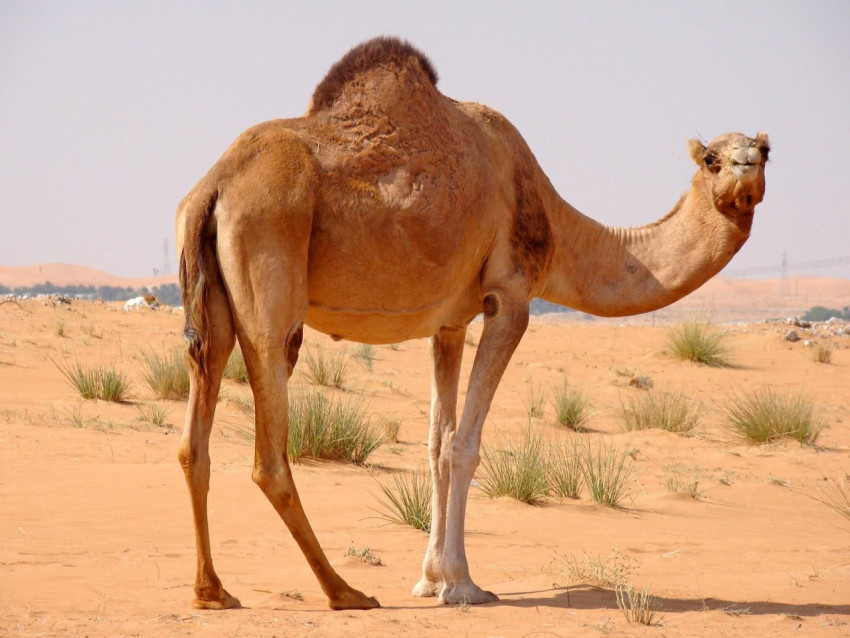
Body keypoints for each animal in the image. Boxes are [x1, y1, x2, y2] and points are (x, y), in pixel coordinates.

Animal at [175, 36, 769, 610]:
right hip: (271, 271)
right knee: (269, 453)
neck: (555, 223)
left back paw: (213, 591)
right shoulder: (510, 297)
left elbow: (437, 443)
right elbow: (464, 444)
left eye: (765, 150)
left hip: (213, 303)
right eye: (712, 158)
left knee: (194, 439)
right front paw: (462, 584)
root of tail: (213, 186)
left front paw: (429, 579)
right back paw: (344, 592)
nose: (745, 169)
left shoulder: (449, 324)